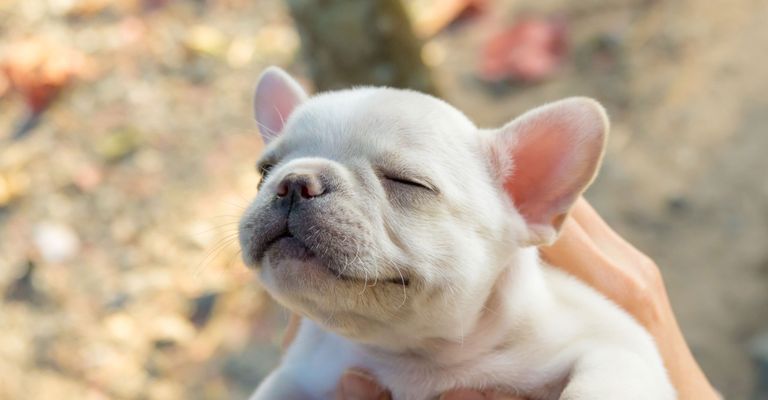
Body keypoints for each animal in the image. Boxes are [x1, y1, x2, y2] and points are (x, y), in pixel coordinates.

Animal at [237, 66, 676, 400]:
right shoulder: (301, 373)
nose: (294, 182)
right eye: (263, 172)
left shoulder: (617, 343)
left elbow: (600, 382)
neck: (415, 355)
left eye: (408, 183)